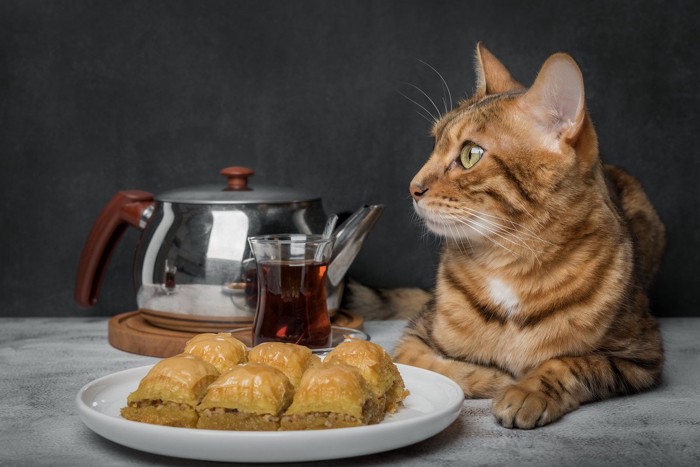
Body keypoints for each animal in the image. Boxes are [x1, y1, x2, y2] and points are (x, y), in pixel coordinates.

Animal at [392, 43, 664, 428]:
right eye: (434, 144)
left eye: (470, 154)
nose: (413, 188)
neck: (510, 260)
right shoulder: (413, 339)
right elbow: (442, 367)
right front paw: (497, 377)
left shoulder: (641, 354)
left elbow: (574, 362)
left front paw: (526, 391)